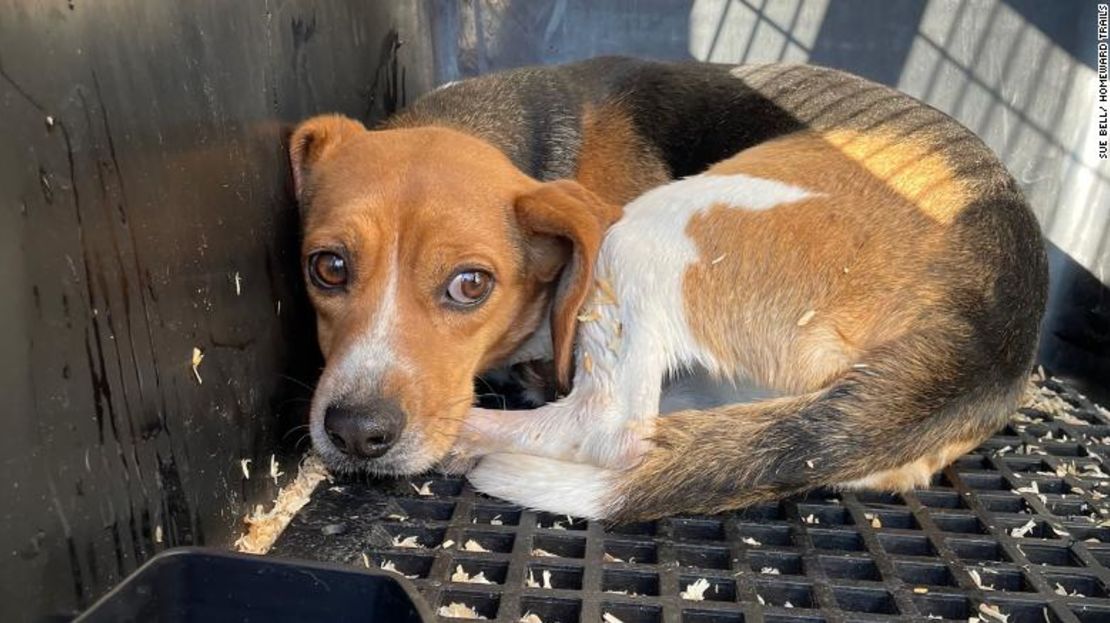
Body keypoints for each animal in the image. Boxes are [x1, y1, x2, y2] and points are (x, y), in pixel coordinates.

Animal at [288, 57, 1047, 519]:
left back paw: (477, 438)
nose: (356, 432)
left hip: (648, 232)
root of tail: (994, 327)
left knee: (610, 426)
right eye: (327, 267)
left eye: (471, 284)